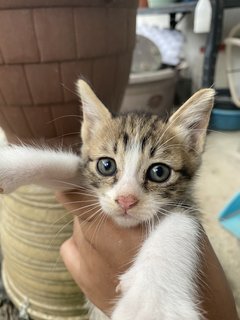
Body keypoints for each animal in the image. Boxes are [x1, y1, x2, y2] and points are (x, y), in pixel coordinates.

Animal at [0, 80, 214, 320]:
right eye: (106, 165)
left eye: (159, 172)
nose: (125, 200)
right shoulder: (84, 175)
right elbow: (66, 165)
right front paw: (8, 166)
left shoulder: (187, 205)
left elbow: (180, 225)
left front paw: (151, 303)